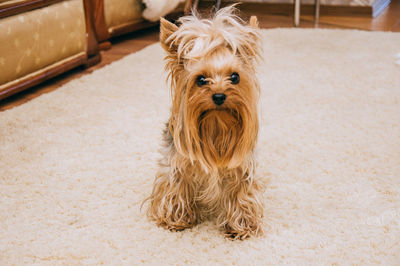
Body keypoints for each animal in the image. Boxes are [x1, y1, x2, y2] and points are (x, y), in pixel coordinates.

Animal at [145, 6, 264, 239]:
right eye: (201, 80)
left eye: (235, 77)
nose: (218, 95)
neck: (216, 125)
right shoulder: (177, 165)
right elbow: (176, 187)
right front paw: (176, 219)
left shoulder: (241, 168)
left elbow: (241, 192)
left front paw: (241, 225)